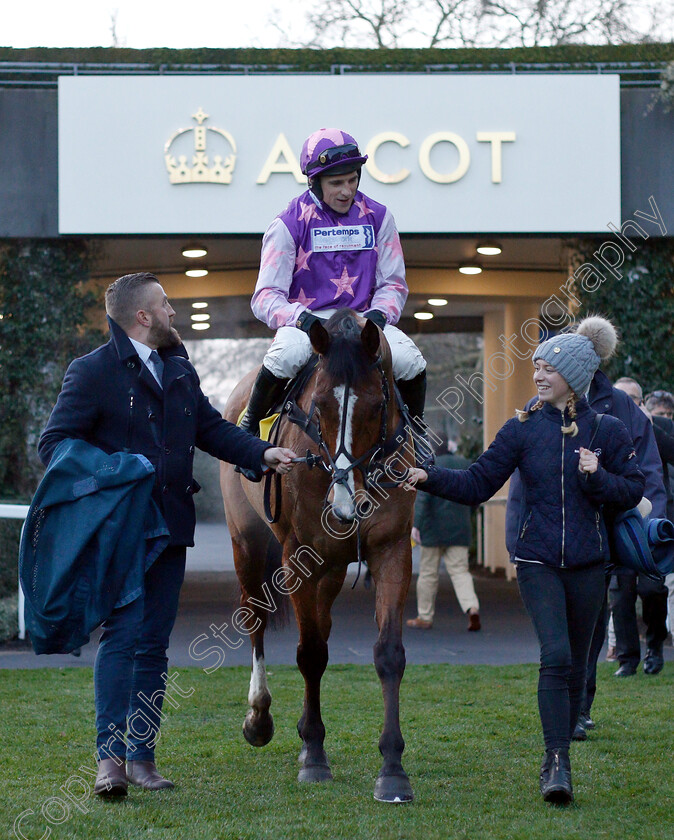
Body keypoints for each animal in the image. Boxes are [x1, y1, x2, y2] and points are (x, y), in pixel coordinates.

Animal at [220, 308, 414, 800]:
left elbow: (388, 653)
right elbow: (309, 654)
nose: (346, 505)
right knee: (256, 618)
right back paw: (259, 718)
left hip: (329, 568)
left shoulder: (392, 549)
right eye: (320, 405)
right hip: (248, 542)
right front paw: (314, 757)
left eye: (376, 406)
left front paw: (392, 768)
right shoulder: (296, 556)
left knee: (322, 628)